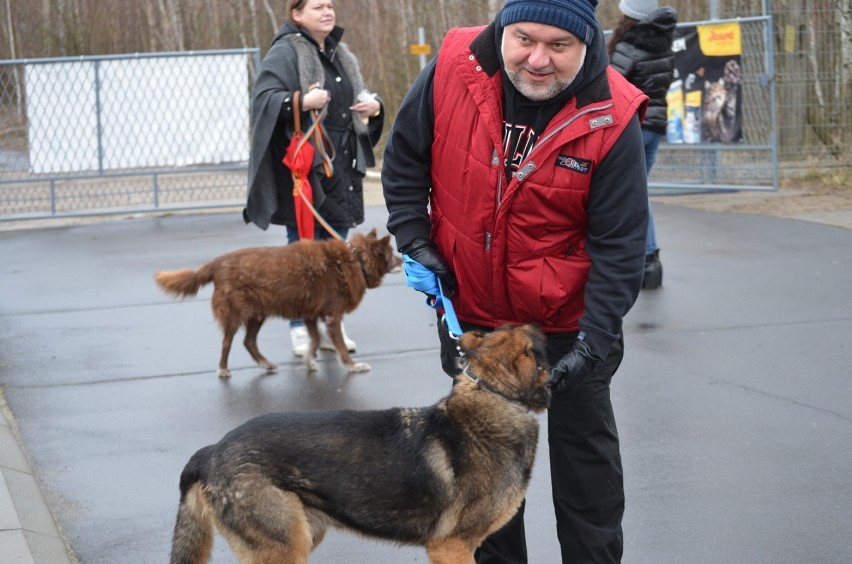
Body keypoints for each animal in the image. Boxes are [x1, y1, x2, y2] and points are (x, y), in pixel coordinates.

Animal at [155, 227, 402, 376]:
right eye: (391, 252)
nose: (403, 260)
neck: (356, 259)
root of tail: (216, 263)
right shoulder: (332, 316)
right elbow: (339, 347)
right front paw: (353, 366)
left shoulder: (310, 314)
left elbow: (314, 340)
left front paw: (310, 360)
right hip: (236, 314)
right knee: (227, 343)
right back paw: (223, 369)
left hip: (257, 314)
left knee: (249, 342)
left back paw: (265, 363)